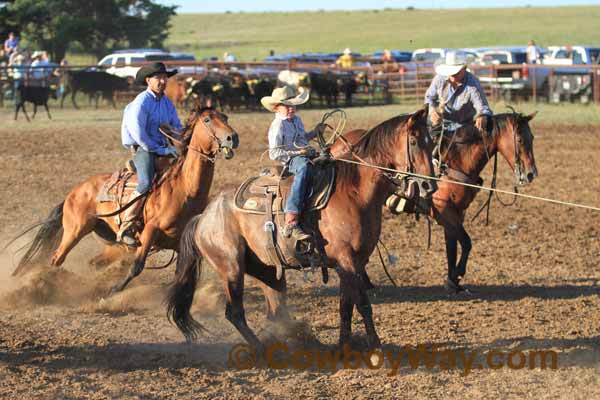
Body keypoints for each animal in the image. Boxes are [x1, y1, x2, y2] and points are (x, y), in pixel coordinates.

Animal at [11, 106, 239, 294]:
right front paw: (113, 291)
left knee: (92, 262)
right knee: (57, 258)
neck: (185, 191)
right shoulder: (150, 231)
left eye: (225, 117)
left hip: (110, 240)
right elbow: (137, 266)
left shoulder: (181, 243)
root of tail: (74, 191)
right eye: (208, 119)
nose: (232, 137)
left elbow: (180, 274)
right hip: (74, 231)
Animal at [168, 108, 436, 352]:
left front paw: (344, 346)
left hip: (266, 270)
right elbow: (363, 304)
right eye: (414, 141)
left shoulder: (352, 263)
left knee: (275, 310)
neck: (354, 191)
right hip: (231, 268)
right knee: (235, 312)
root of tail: (204, 217)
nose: (429, 186)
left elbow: (345, 306)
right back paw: (261, 350)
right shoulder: (347, 260)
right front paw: (377, 348)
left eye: (432, 142)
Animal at [332, 111, 540, 292]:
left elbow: (452, 245)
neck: (457, 160)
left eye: (532, 137)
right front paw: (457, 274)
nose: (531, 174)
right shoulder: (444, 211)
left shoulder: (457, 212)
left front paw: (453, 282)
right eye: (520, 140)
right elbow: (466, 242)